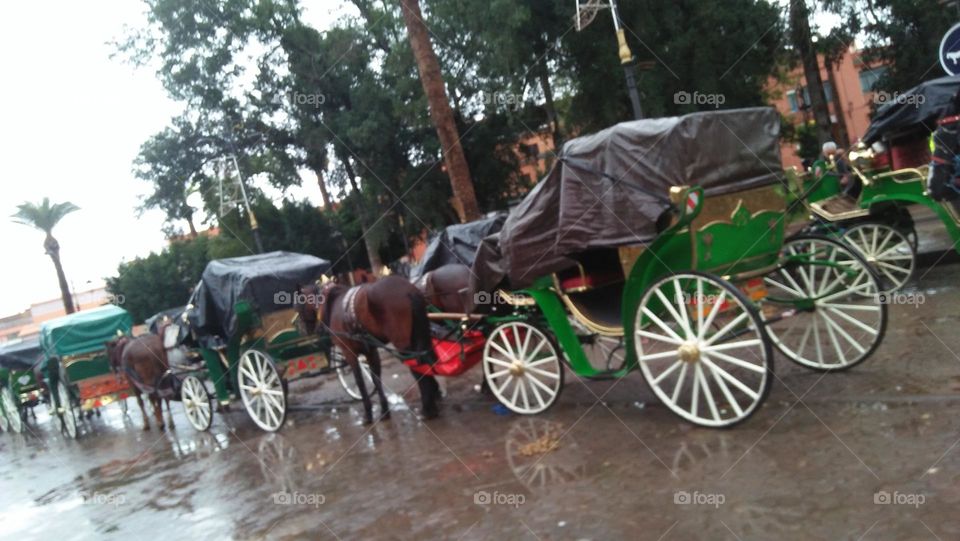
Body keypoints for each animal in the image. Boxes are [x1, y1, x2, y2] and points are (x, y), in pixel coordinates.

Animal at [296, 274, 442, 422]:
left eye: (298, 305)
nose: (302, 330)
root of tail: (408, 290)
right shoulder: (370, 350)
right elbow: (375, 378)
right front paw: (384, 410)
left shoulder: (349, 352)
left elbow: (360, 381)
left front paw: (368, 412)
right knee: (425, 360)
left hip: (403, 344)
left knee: (417, 367)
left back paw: (427, 407)